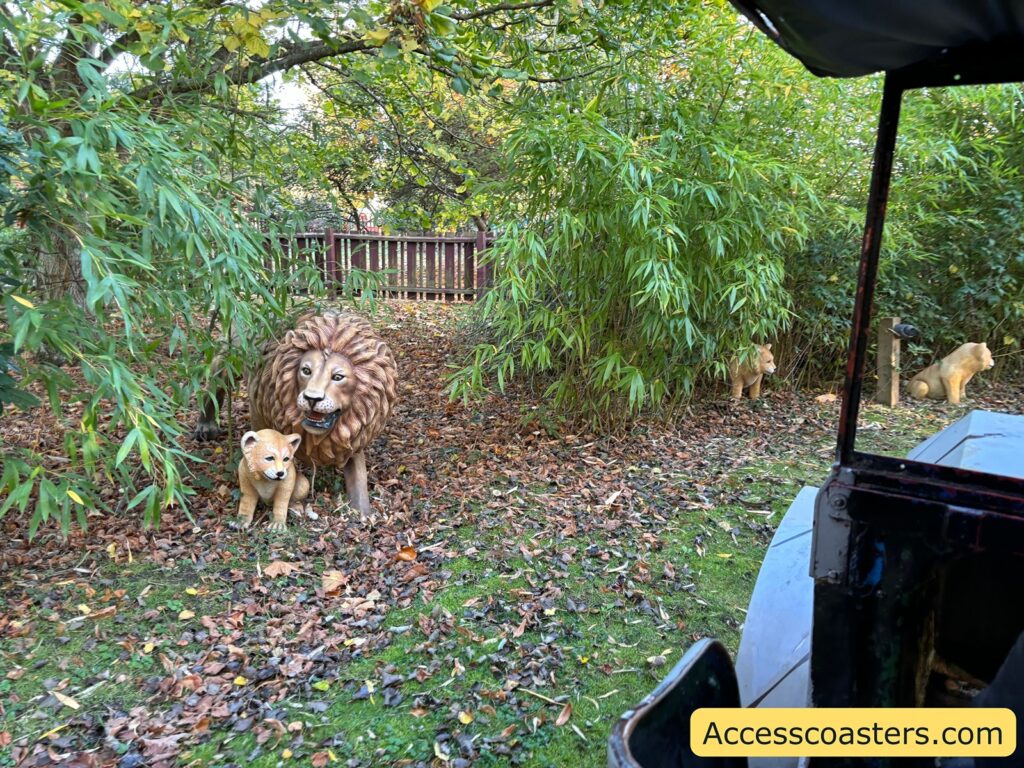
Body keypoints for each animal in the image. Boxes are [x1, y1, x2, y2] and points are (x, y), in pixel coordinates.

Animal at [197, 310, 398, 516]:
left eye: (338, 377)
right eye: (306, 370)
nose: (312, 398)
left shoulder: (353, 436)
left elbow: (358, 477)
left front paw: (363, 513)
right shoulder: (257, 405)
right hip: (228, 359)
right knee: (213, 385)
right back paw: (206, 427)